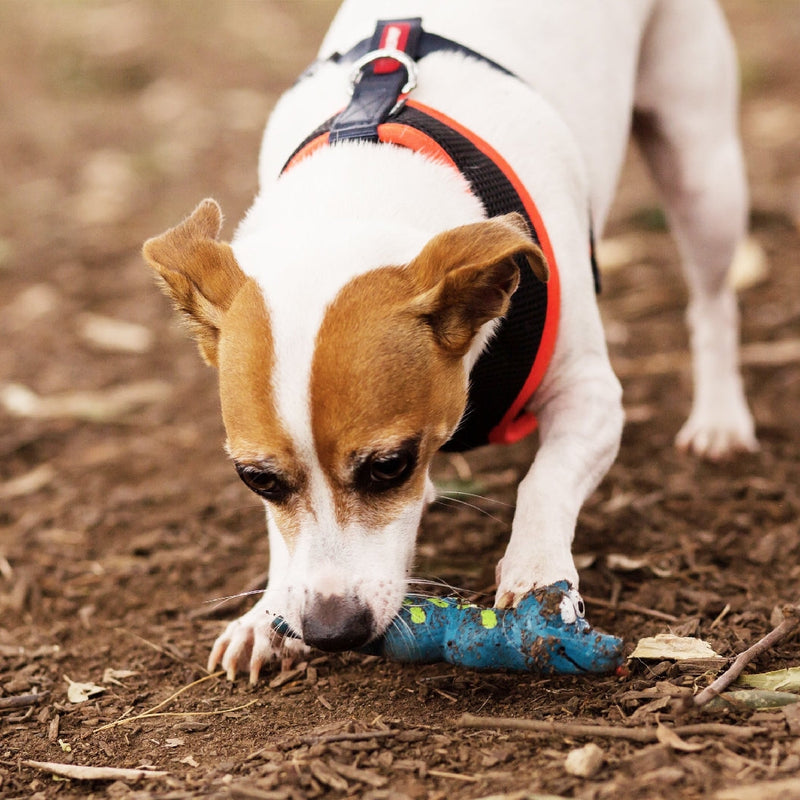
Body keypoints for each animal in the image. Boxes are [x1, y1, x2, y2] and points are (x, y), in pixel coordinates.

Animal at [142, 0, 756, 680]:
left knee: (713, 303)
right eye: (259, 480)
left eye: (389, 467)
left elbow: (544, 481)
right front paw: (266, 615)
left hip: (701, 171)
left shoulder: (591, 396)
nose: (332, 631)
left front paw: (537, 572)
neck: (360, 189)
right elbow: (283, 537)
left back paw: (720, 418)